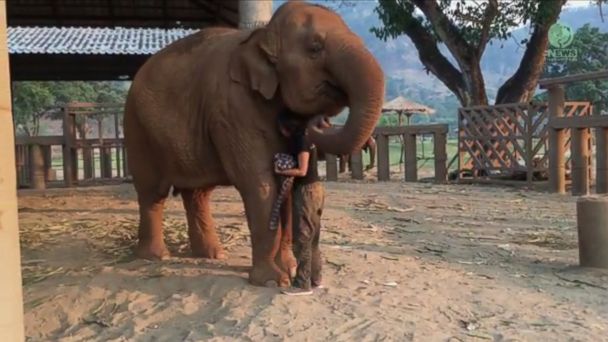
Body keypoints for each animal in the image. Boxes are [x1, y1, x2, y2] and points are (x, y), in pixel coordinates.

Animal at [123, 1, 384, 288]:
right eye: (315, 48)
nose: (319, 122)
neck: (262, 36)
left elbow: (286, 187)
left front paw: (289, 269)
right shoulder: (232, 109)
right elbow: (261, 185)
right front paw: (272, 281)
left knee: (198, 194)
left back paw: (213, 255)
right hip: (137, 129)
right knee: (152, 192)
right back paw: (156, 257)